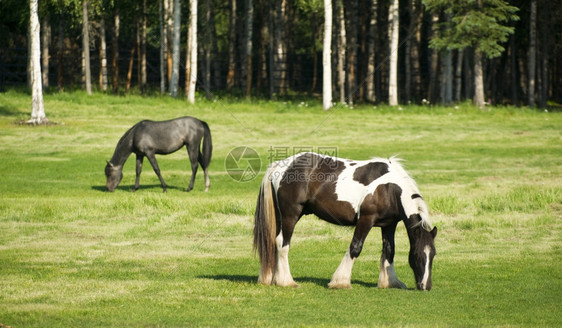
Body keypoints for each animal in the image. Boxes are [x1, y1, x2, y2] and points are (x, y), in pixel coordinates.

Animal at [255, 151, 438, 290]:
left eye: (433, 255)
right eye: (417, 255)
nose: (425, 286)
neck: (389, 188)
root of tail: (282, 164)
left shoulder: (389, 225)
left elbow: (389, 251)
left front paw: (390, 282)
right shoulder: (366, 220)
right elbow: (355, 247)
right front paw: (340, 281)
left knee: (274, 242)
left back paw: (275, 279)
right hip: (291, 215)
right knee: (282, 243)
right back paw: (286, 281)